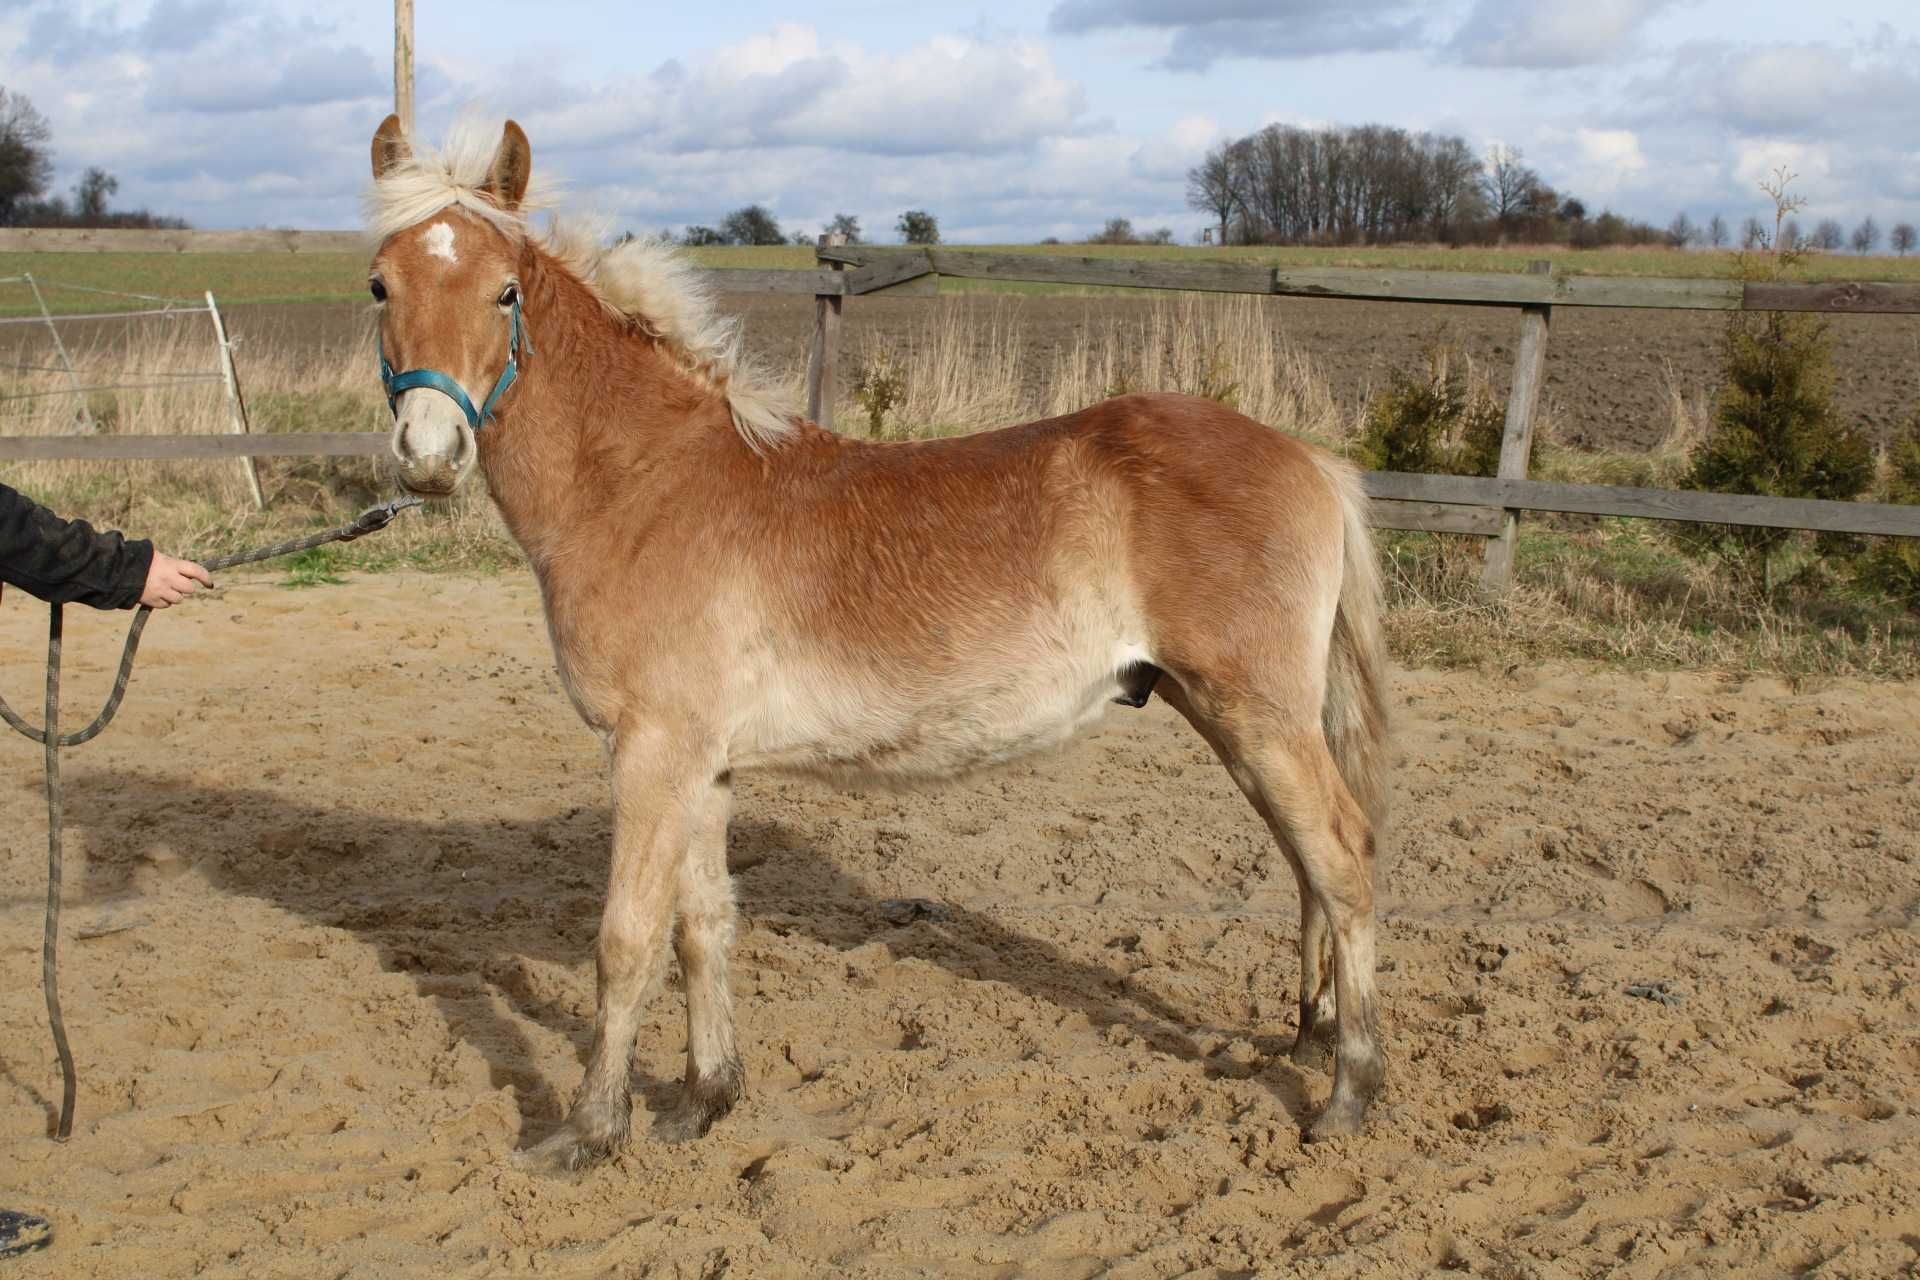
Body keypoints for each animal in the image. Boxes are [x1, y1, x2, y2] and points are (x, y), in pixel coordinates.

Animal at [370, 115, 1397, 1166]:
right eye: (380, 284)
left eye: (505, 291)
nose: (428, 459)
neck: (646, 482)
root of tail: (1310, 459)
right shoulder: (702, 765)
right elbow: (702, 927)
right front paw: (703, 1100)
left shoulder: (651, 753)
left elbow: (625, 942)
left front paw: (586, 1132)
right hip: (1237, 719)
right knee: (1307, 865)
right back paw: (1310, 1036)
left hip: (1258, 716)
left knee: (1344, 860)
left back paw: (1348, 1093)